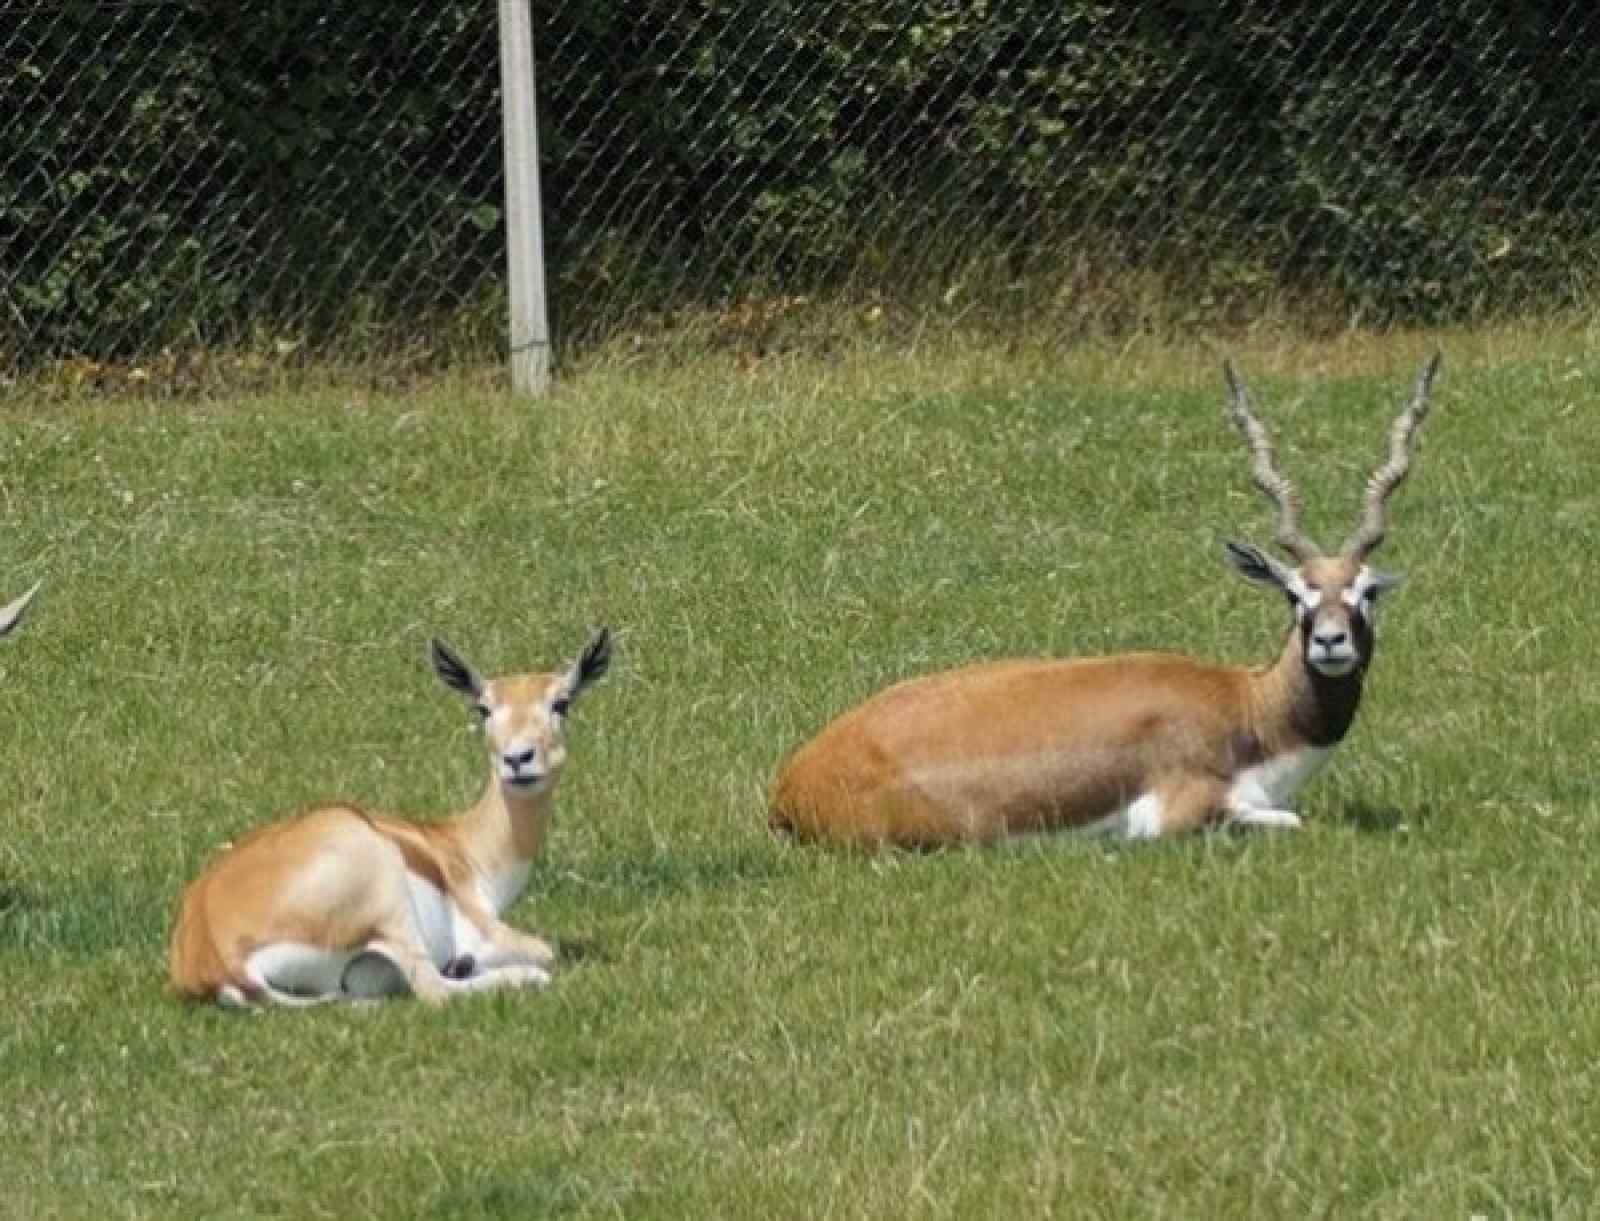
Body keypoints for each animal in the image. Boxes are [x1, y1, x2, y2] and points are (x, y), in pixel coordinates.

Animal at [170, 624, 611, 1004]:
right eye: (483, 709)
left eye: (561, 702)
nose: (518, 759)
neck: (462, 849)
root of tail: (216, 954)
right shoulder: (484, 930)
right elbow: (545, 949)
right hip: (388, 896)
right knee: (434, 988)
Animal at [761, 358, 1440, 844]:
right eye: (1296, 593)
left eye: (1366, 590)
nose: (1330, 641)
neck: (1249, 710)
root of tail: (794, 782)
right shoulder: (1178, 811)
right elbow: (1291, 821)